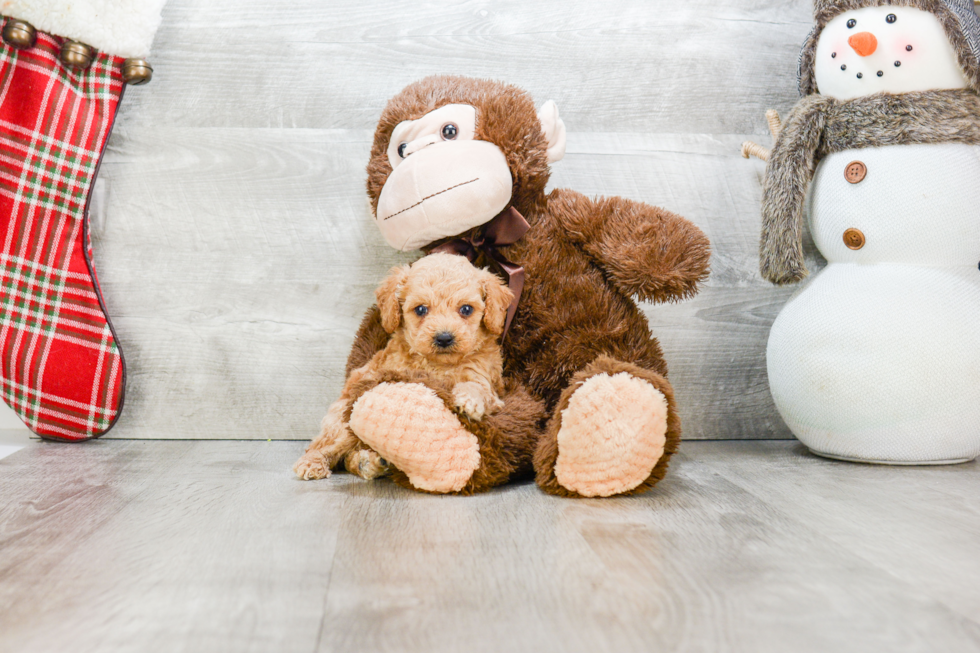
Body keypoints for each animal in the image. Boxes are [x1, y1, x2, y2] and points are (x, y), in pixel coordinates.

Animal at [294, 252, 516, 482]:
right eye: (421, 309)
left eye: (466, 309)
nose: (444, 338)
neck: (440, 364)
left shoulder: (489, 385)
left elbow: (476, 386)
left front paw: (469, 400)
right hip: (341, 422)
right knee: (325, 446)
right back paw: (313, 463)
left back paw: (371, 462)